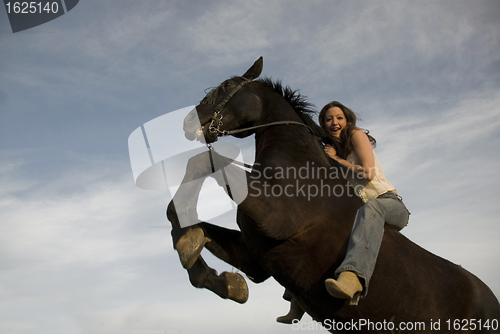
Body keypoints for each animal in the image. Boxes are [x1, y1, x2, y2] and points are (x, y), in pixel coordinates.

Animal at [166, 56, 498, 332]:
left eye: (226, 86)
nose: (187, 122)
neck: (300, 163)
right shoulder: (256, 258)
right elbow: (200, 229)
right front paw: (225, 280)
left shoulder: (277, 217)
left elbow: (202, 161)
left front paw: (188, 246)